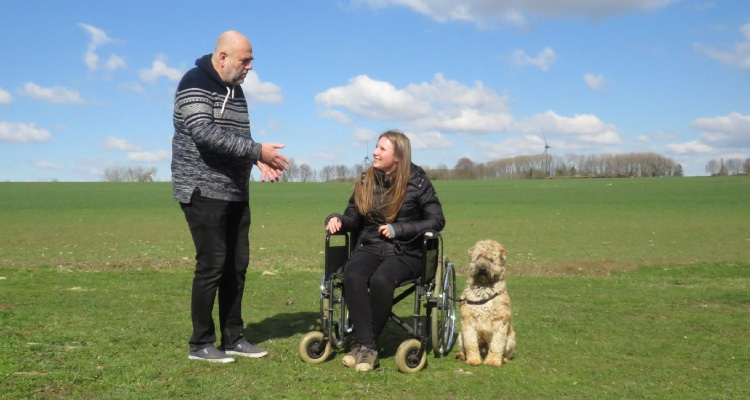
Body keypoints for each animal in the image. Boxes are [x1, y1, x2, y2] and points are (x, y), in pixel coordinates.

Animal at [458, 239, 516, 368]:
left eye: (491, 259)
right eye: (479, 257)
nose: (482, 269)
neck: (484, 289)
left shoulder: (500, 322)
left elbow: (496, 345)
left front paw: (493, 361)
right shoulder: (468, 321)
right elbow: (471, 343)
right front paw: (473, 360)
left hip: (511, 340)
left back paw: (502, 359)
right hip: (459, 336)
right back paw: (461, 355)